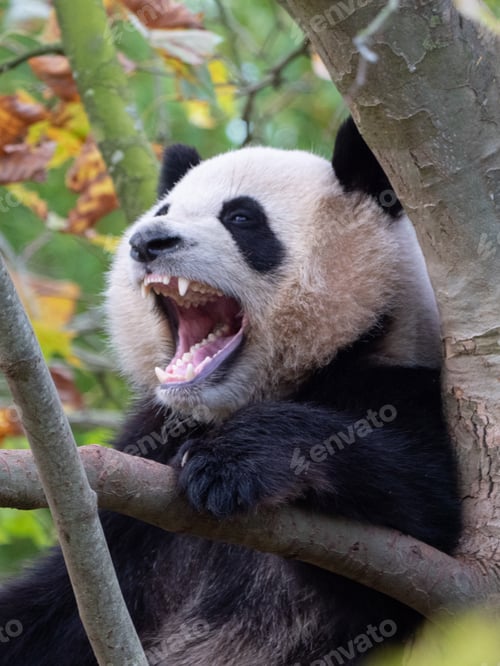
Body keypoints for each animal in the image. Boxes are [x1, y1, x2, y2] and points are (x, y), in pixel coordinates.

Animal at [0, 117, 460, 665]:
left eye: (241, 218)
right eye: (164, 211)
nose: (147, 242)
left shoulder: (402, 386)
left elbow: (428, 500)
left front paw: (229, 462)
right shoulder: (146, 459)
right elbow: (51, 610)